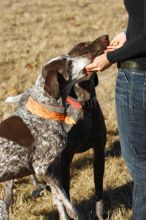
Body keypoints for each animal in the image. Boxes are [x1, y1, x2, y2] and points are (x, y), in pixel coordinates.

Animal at [0, 54, 91, 219]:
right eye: (68, 63)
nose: (89, 56)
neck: (45, 111)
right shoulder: (41, 168)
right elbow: (63, 197)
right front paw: (74, 212)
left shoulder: (52, 168)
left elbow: (59, 197)